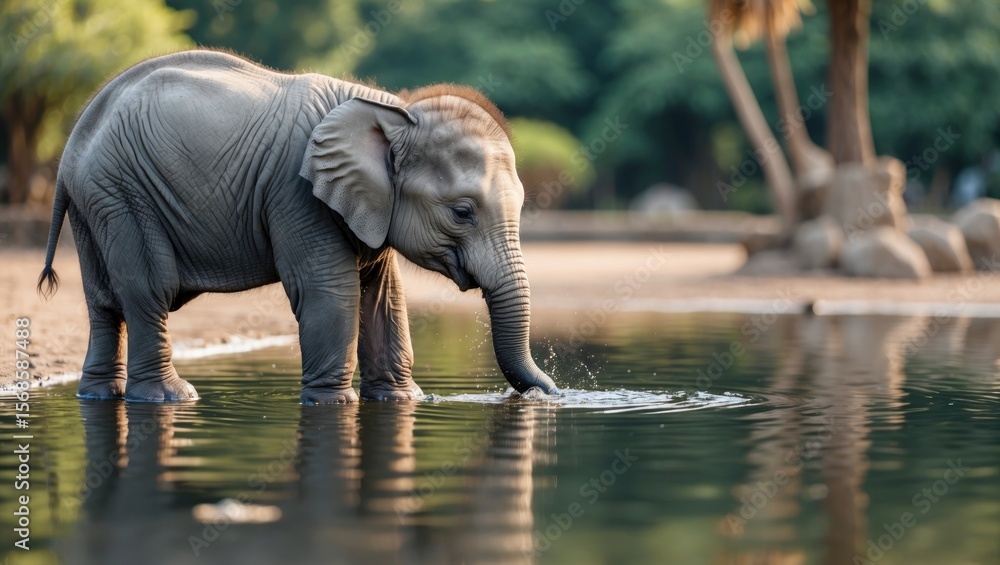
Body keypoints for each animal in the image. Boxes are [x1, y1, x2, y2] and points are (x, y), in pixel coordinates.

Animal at [38, 49, 558, 403]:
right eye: (462, 212)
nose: (551, 393)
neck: (394, 111)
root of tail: (75, 138)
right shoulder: (296, 192)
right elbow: (329, 289)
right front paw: (334, 404)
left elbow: (383, 297)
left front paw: (401, 400)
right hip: (120, 191)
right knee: (149, 288)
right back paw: (172, 397)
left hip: (97, 199)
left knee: (105, 300)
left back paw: (99, 395)